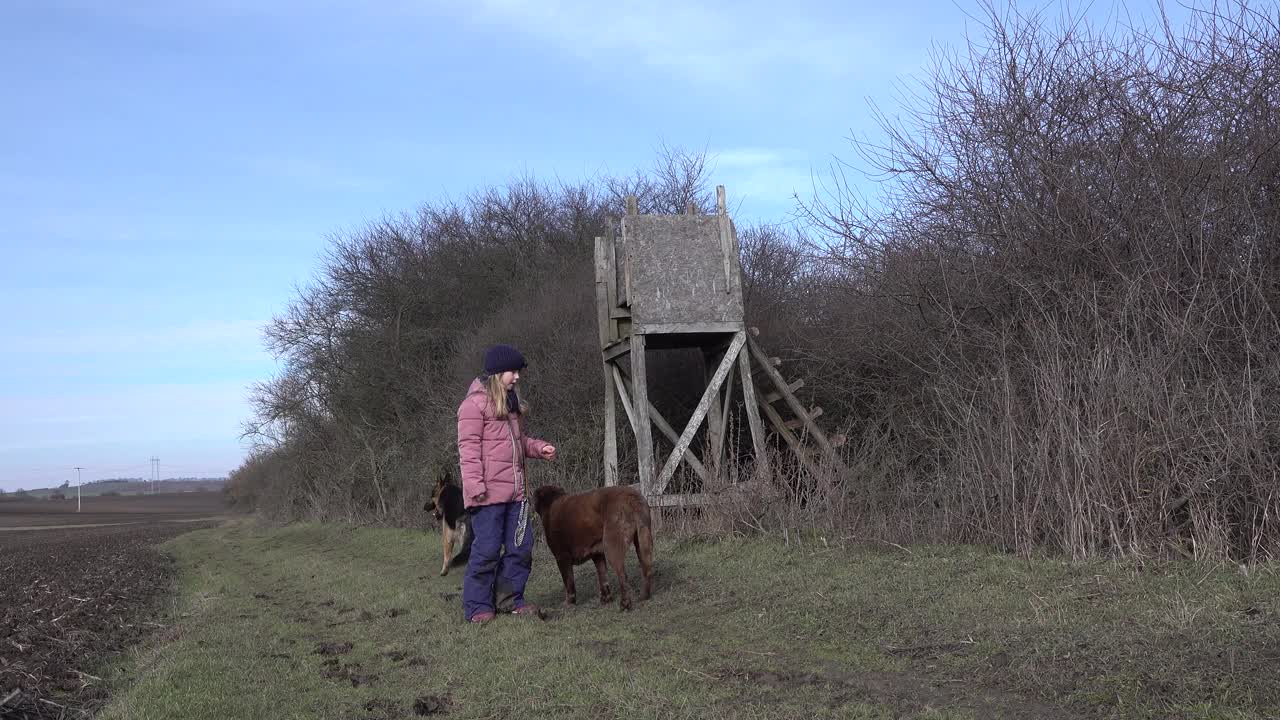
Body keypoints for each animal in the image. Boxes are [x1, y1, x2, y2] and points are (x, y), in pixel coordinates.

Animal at [529, 481, 655, 609]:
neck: (550, 504)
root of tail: (632, 497)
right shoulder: (597, 554)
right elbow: (603, 577)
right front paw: (605, 599)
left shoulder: (562, 557)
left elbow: (569, 582)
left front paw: (569, 603)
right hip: (642, 541)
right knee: (646, 568)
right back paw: (644, 596)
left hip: (612, 545)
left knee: (623, 575)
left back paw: (625, 604)